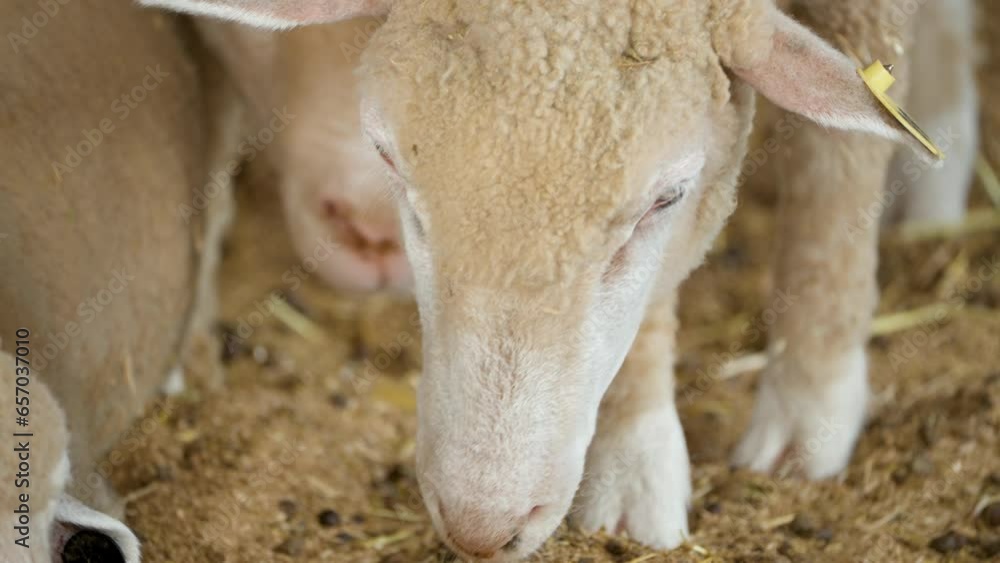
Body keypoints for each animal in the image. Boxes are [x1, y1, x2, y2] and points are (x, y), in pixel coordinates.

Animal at [142, 0, 980, 560]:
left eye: (666, 199)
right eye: (388, 157)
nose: (481, 526)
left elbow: (842, 144)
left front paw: (812, 408)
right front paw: (633, 462)